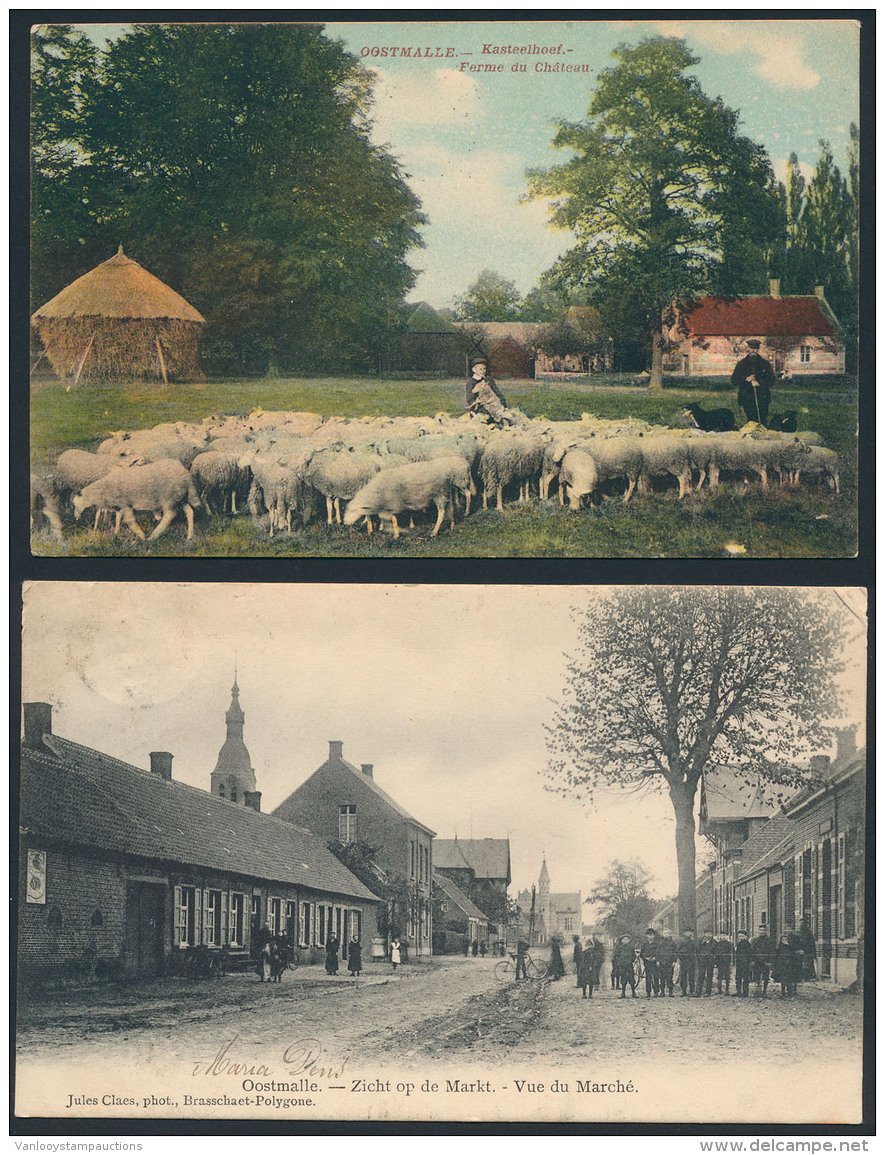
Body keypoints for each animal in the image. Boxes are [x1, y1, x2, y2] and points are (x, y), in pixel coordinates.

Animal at [71, 459, 203, 540]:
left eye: (74, 505)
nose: (76, 518)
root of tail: (186, 474)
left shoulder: (125, 504)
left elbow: (130, 522)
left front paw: (141, 535)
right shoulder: (120, 506)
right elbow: (118, 519)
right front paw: (116, 533)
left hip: (168, 497)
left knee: (170, 514)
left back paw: (154, 536)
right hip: (180, 497)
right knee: (189, 512)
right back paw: (190, 536)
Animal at [344, 452, 478, 538]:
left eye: (354, 510)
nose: (345, 523)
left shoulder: (394, 504)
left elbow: (392, 518)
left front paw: (396, 533)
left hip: (442, 492)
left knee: (443, 511)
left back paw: (435, 531)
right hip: (447, 491)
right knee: (450, 508)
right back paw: (452, 524)